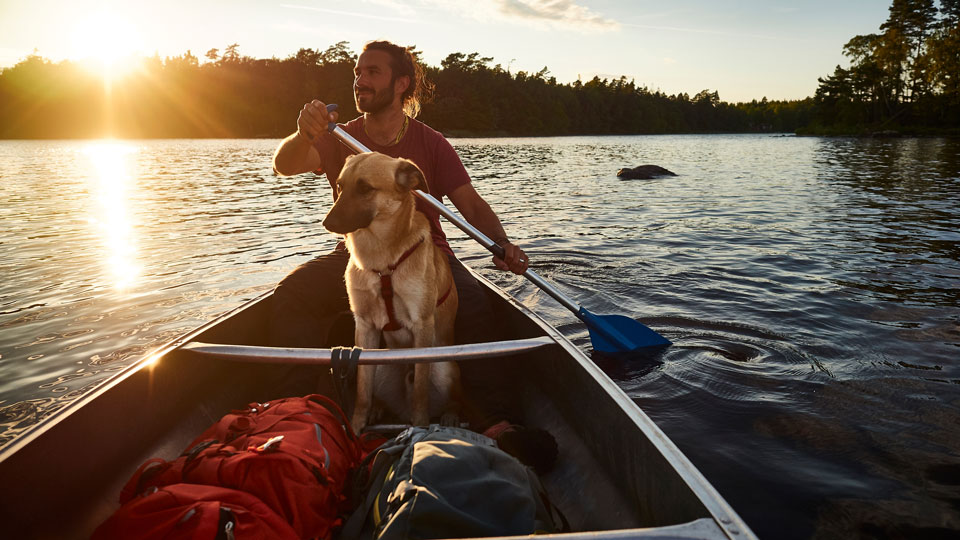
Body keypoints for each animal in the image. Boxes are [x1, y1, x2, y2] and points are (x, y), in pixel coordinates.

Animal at [320, 153, 460, 434]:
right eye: (340, 185)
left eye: (365, 188)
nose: (327, 223)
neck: (382, 262)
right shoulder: (364, 327)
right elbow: (362, 391)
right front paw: (356, 427)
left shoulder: (422, 324)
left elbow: (420, 392)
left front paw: (421, 425)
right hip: (381, 362)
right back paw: (378, 409)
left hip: (445, 367)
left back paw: (450, 414)